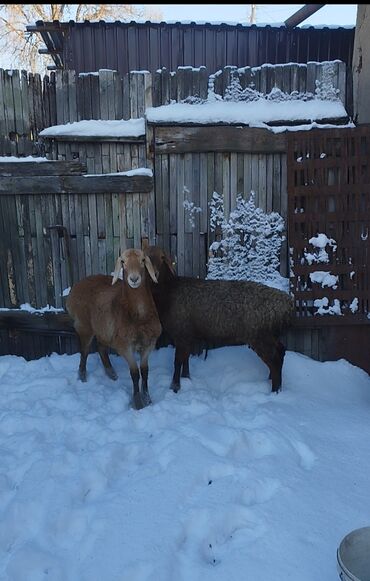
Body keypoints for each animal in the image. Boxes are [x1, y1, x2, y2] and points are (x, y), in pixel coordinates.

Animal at [67, 248, 162, 408]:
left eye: (143, 260)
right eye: (123, 262)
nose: (134, 279)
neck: (139, 316)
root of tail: (75, 288)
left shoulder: (149, 344)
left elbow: (145, 371)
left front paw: (148, 399)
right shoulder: (124, 345)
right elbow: (135, 373)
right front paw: (137, 402)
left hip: (103, 329)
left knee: (101, 348)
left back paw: (111, 373)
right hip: (84, 325)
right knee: (84, 351)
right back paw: (82, 376)